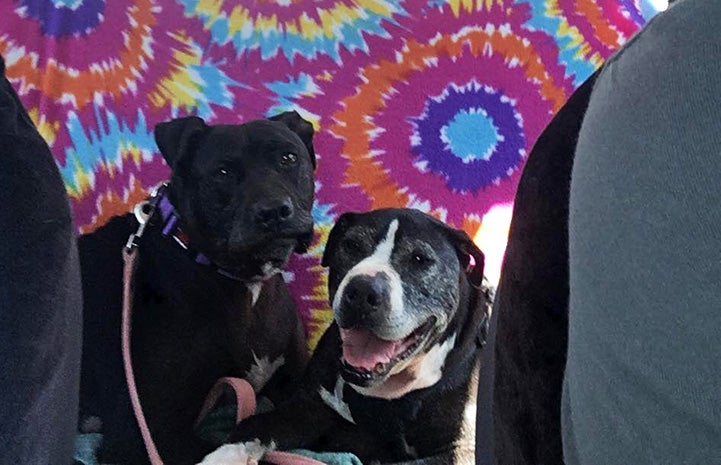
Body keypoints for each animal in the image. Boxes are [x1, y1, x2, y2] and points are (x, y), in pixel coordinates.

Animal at [200, 209, 492, 464]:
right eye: (351, 245)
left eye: (420, 259)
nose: (363, 291)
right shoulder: (308, 407)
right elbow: (256, 426)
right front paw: (222, 456)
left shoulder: (460, 450)